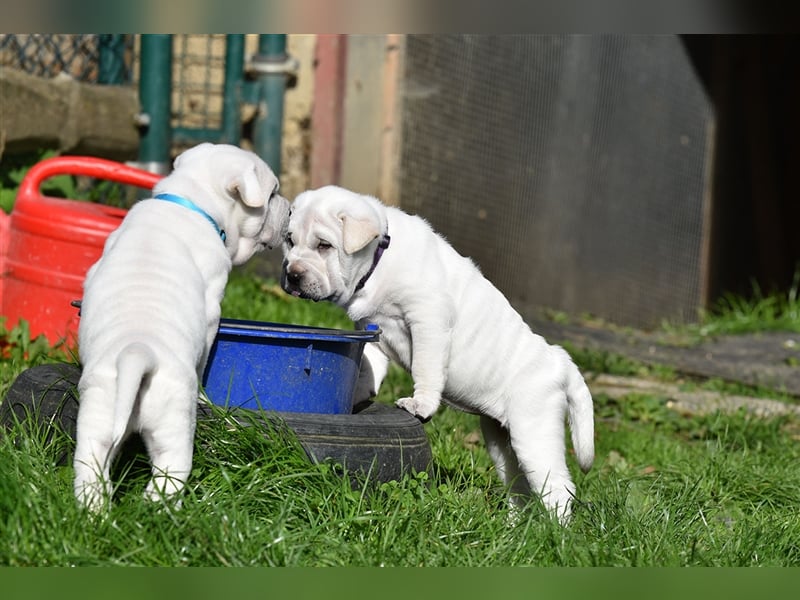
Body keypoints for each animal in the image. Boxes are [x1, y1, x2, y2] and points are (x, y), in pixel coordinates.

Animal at [72, 142, 290, 510]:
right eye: (273, 193)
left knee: (91, 472)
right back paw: (158, 512)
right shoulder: (212, 305)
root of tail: (138, 354)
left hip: (98, 415)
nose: (290, 210)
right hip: (172, 423)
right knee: (168, 474)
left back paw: (95, 514)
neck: (188, 200)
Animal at [282, 185, 592, 524]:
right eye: (290, 241)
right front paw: (355, 398)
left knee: (558, 487)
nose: (292, 275)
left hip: (534, 430)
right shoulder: (372, 329)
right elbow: (366, 368)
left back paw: (557, 532)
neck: (379, 260)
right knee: (518, 485)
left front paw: (421, 405)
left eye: (324, 245)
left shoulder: (427, 319)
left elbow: (425, 367)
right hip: (501, 441)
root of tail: (560, 361)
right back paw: (512, 528)